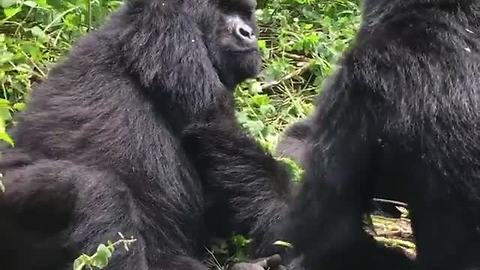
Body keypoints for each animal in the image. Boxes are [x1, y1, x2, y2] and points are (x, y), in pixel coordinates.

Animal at [0, 0, 292, 270]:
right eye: (225, 10)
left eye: (245, 14)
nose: (248, 33)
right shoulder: (168, 23)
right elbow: (211, 125)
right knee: (100, 191)